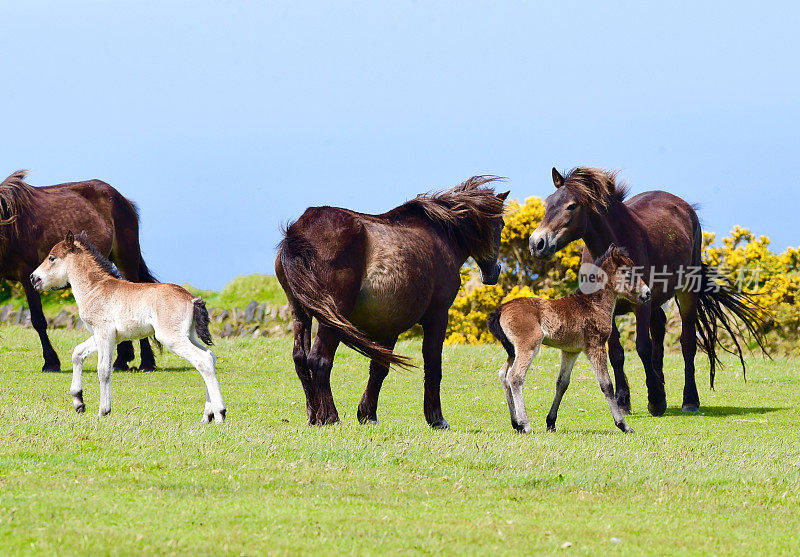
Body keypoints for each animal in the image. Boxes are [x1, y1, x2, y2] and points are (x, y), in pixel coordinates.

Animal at [0, 168, 156, 370]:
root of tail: (123, 200)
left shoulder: (28, 274)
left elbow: (38, 320)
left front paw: (51, 362)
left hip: (127, 260)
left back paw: (146, 362)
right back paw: (122, 360)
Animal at [278, 177, 510, 426]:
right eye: (502, 224)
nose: (493, 272)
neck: (440, 235)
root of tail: (299, 233)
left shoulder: (389, 324)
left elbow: (379, 368)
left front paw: (368, 414)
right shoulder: (438, 316)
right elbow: (433, 365)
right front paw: (436, 418)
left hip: (300, 313)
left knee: (301, 359)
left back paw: (313, 416)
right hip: (332, 317)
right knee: (319, 359)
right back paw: (330, 416)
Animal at [488, 244, 648, 434]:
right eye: (629, 273)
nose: (647, 294)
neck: (592, 303)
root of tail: (501, 310)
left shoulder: (570, 351)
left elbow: (562, 383)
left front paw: (551, 422)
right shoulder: (596, 345)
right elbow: (606, 384)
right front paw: (623, 425)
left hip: (513, 351)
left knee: (503, 374)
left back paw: (516, 423)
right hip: (528, 346)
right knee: (515, 377)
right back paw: (525, 425)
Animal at [528, 167, 764, 414]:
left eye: (571, 206)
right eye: (548, 203)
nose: (537, 243)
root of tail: (685, 207)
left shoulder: (641, 305)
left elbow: (643, 346)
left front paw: (656, 400)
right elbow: (616, 352)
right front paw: (623, 401)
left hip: (686, 291)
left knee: (687, 343)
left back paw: (689, 400)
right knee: (659, 330)